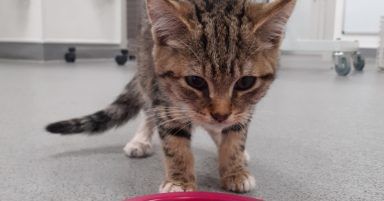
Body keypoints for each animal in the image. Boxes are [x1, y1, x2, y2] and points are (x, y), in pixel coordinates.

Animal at [45, 0, 296, 193]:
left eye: (245, 82)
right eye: (195, 81)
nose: (220, 114)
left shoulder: (245, 109)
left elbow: (235, 136)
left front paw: (235, 170)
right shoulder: (166, 103)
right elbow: (175, 144)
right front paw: (180, 181)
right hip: (147, 67)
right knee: (148, 108)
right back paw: (141, 139)